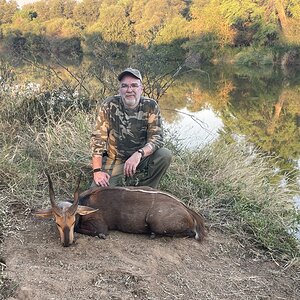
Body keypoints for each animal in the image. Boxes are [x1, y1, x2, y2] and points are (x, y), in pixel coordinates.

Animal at [32, 173, 206, 246]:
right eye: (57, 223)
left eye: (73, 221)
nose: (67, 243)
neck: (86, 201)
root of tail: (188, 209)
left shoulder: (101, 227)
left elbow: (99, 233)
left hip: (155, 222)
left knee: (191, 233)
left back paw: (152, 235)